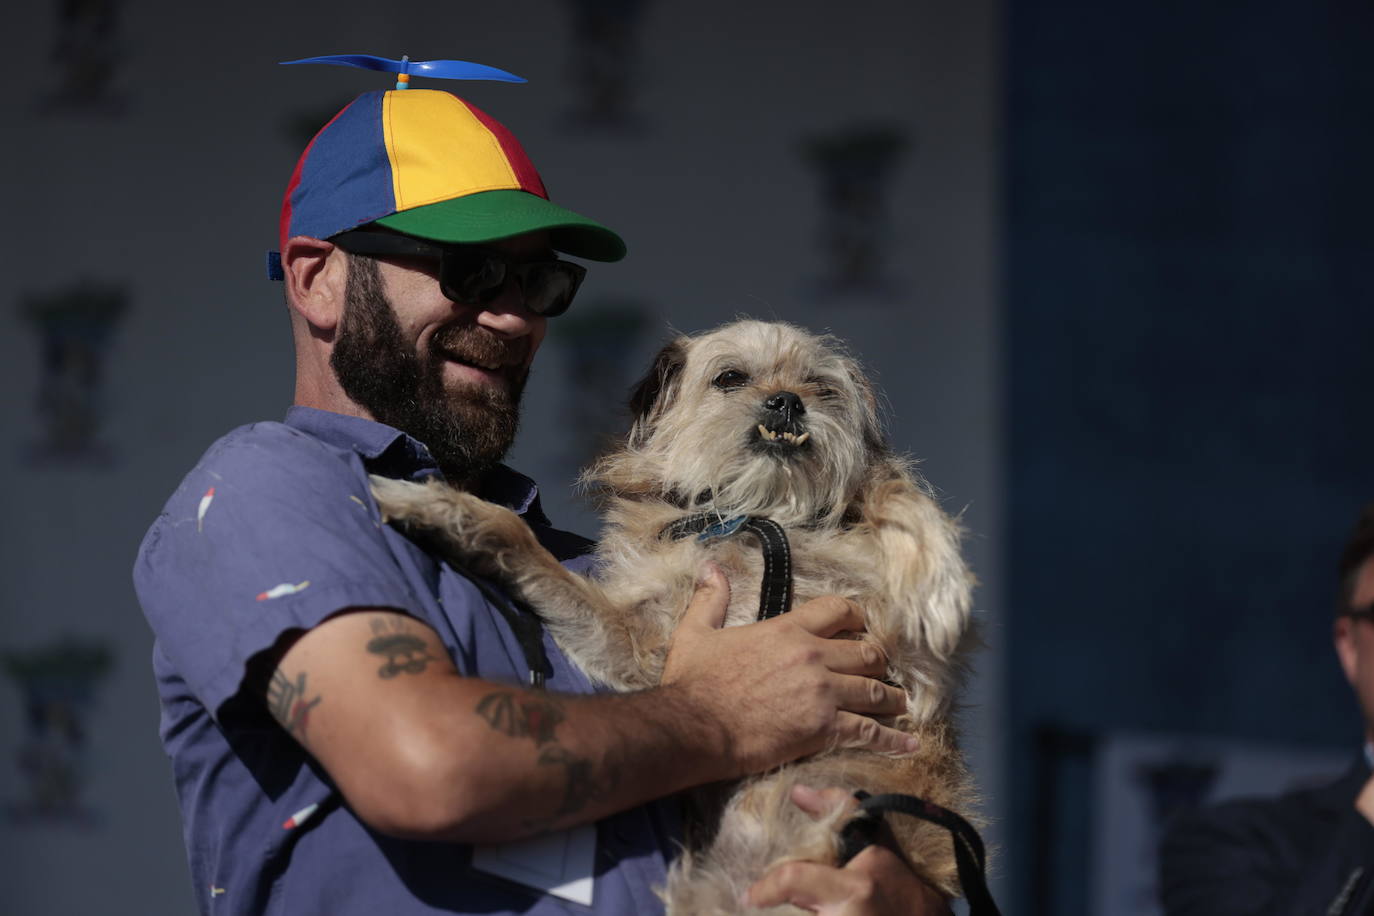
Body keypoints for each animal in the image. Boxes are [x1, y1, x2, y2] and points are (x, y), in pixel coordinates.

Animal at [370, 321, 983, 911]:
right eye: (731, 377)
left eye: (821, 388)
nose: (787, 401)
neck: (753, 515)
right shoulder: (642, 646)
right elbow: (520, 539)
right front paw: (440, 506)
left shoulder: (918, 665)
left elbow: (890, 489)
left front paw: (938, 585)